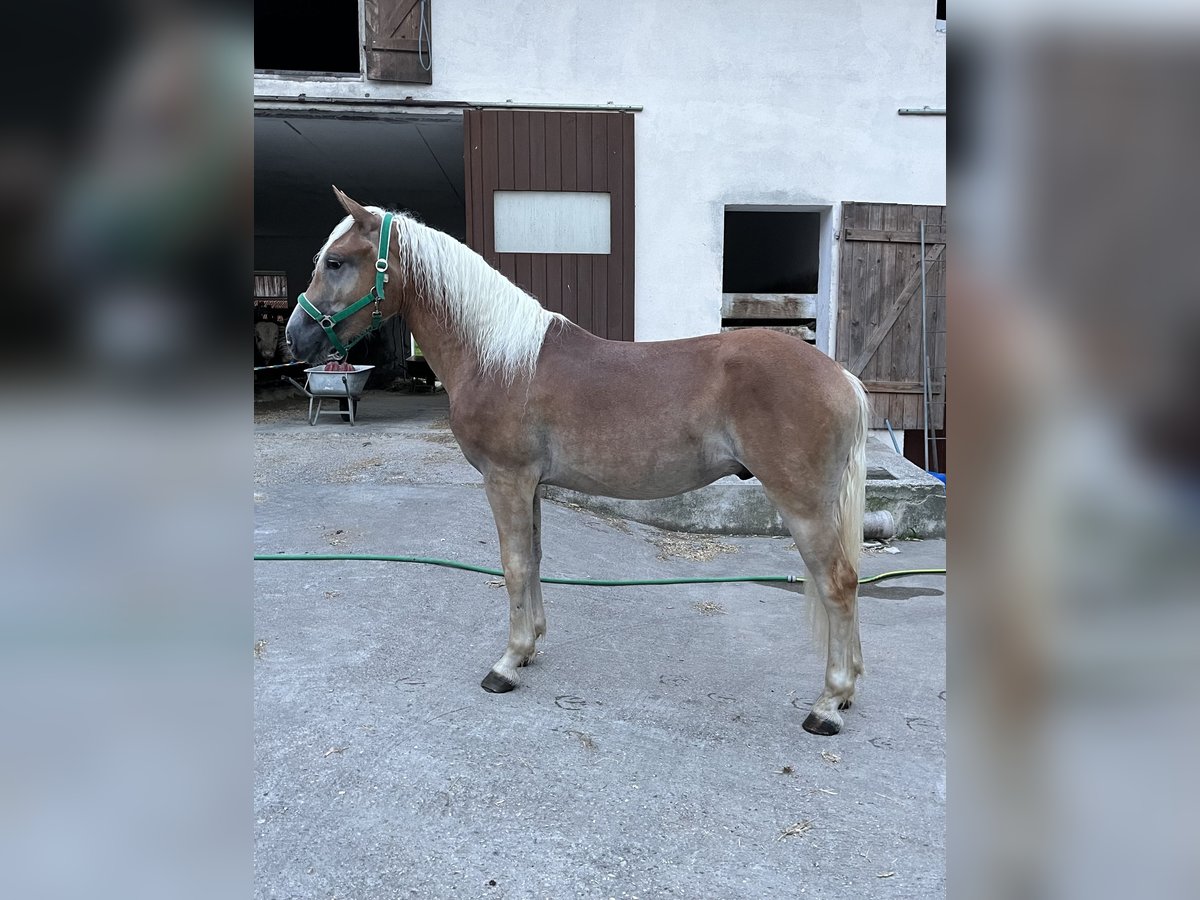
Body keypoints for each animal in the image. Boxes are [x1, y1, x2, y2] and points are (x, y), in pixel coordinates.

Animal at [290, 190, 873, 739]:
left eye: (336, 262)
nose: (297, 336)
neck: (496, 356)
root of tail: (841, 377)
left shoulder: (506, 479)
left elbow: (513, 565)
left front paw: (506, 665)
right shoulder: (530, 485)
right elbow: (533, 560)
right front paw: (529, 648)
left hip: (803, 504)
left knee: (839, 584)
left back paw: (828, 705)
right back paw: (844, 695)